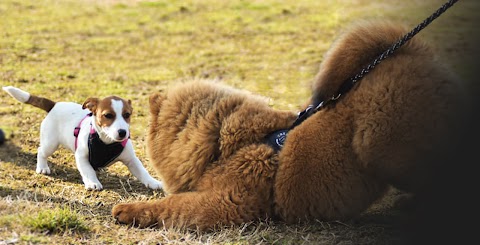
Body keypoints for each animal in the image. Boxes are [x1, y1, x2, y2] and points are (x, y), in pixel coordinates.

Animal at [1, 86, 163, 191]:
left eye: (127, 115)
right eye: (108, 115)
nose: (123, 132)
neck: (106, 142)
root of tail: (55, 105)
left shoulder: (131, 160)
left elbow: (142, 171)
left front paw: (153, 182)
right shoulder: (82, 156)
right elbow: (88, 170)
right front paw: (92, 182)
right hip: (50, 143)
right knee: (41, 151)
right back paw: (42, 167)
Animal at [111, 21, 464, 230]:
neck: (222, 147)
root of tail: (415, 53)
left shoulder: (226, 203)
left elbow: (171, 206)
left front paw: (127, 210)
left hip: (384, 148)